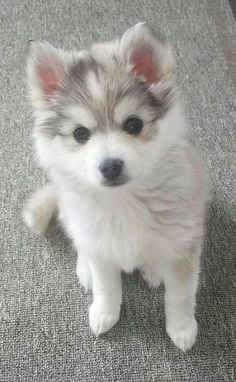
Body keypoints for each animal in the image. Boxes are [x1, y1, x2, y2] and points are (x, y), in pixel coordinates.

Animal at [23, 23, 208, 352]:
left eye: (133, 125)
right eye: (80, 134)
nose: (110, 166)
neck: (124, 200)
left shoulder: (183, 246)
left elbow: (180, 296)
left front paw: (182, 328)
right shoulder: (102, 247)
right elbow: (107, 287)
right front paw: (104, 313)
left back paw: (153, 270)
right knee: (80, 244)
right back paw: (85, 270)